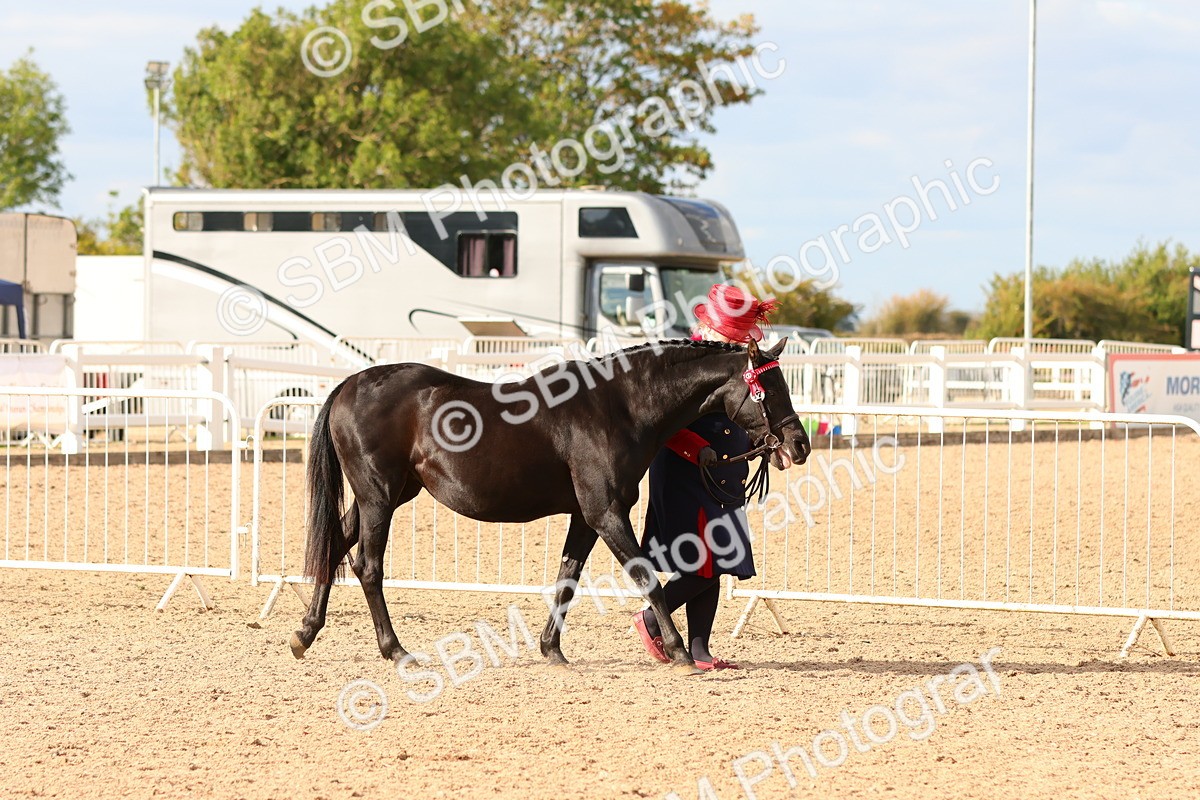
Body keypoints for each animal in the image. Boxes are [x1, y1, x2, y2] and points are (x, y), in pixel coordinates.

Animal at [291, 337, 811, 670]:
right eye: (770, 389)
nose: (799, 444)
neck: (619, 407)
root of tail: (349, 384)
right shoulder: (606, 513)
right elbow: (648, 578)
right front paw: (678, 651)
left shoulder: (585, 517)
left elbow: (567, 582)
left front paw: (551, 650)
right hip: (378, 496)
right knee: (368, 567)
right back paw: (395, 650)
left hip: (387, 496)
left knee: (335, 547)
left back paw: (304, 633)